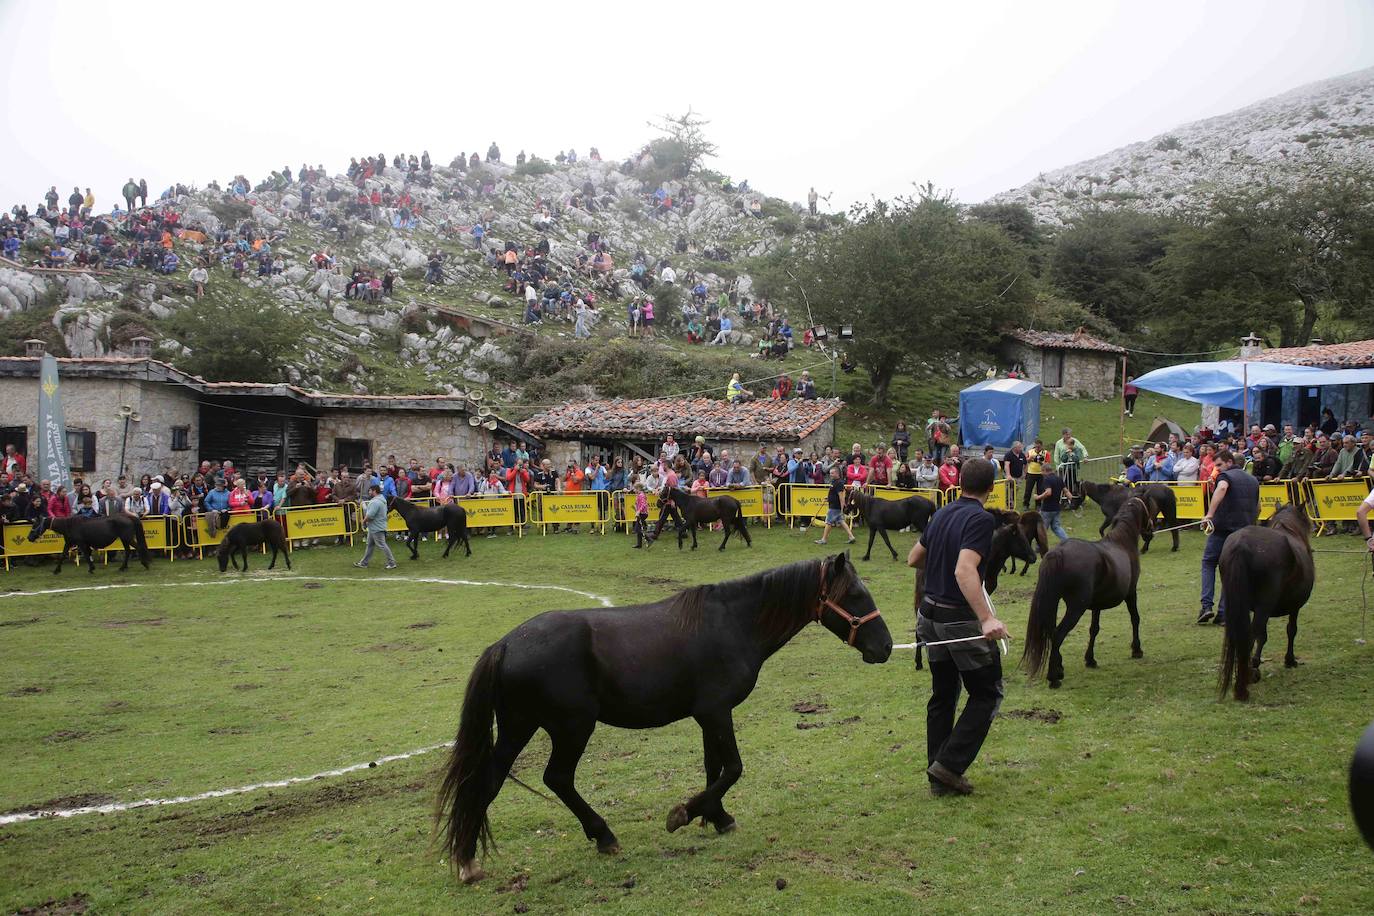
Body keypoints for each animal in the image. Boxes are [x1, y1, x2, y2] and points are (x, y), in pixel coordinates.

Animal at [434, 554, 895, 884]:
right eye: (855, 595)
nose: (886, 646)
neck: (732, 623)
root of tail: (507, 644)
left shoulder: (708, 716)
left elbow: (714, 768)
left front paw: (716, 817)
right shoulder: (716, 712)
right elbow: (732, 768)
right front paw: (685, 814)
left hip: (519, 727)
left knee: (489, 781)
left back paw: (467, 859)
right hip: (572, 727)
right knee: (557, 778)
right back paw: (603, 836)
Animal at [1022, 494, 1148, 686]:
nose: (1151, 530)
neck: (1122, 542)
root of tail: (1059, 552)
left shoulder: (1097, 605)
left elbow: (1094, 629)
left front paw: (1090, 659)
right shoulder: (1131, 594)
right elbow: (1135, 619)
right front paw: (1136, 650)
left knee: (1052, 633)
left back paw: (1059, 669)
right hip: (1076, 608)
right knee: (1058, 634)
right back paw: (1054, 677)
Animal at [1225, 505, 1319, 697]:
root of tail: (1241, 545)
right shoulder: (1294, 607)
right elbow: (1291, 630)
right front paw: (1289, 660)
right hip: (1264, 606)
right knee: (1253, 635)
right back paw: (1248, 673)